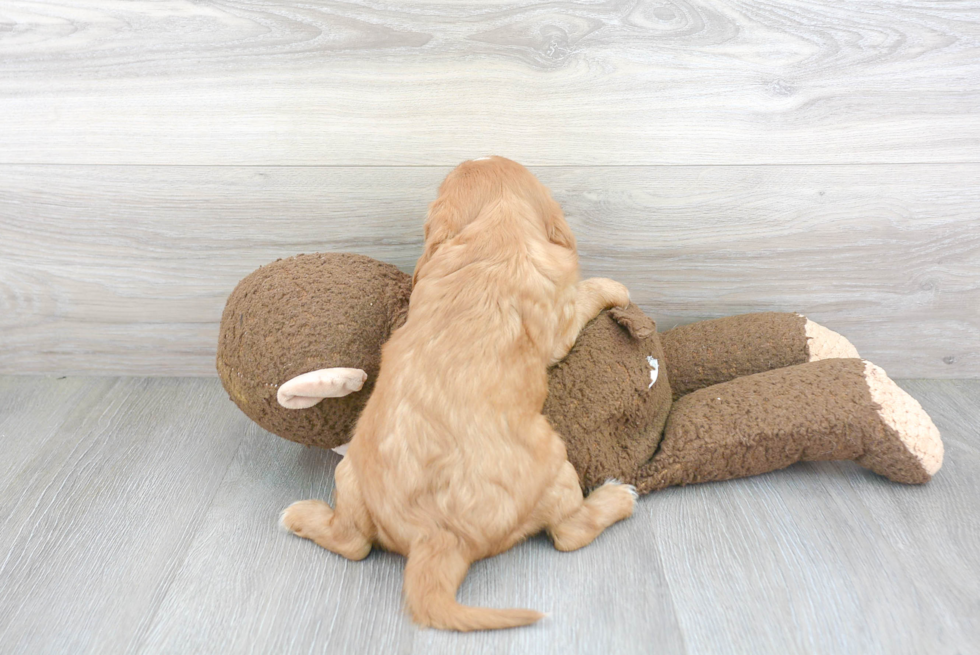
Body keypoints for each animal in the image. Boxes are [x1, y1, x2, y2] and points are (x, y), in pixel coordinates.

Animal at [284, 158, 636, 632]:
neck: (496, 233)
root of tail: (435, 535)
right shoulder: (561, 320)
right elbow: (585, 294)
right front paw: (615, 287)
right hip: (557, 465)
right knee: (568, 532)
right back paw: (618, 496)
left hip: (350, 476)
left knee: (353, 541)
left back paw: (298, 516)